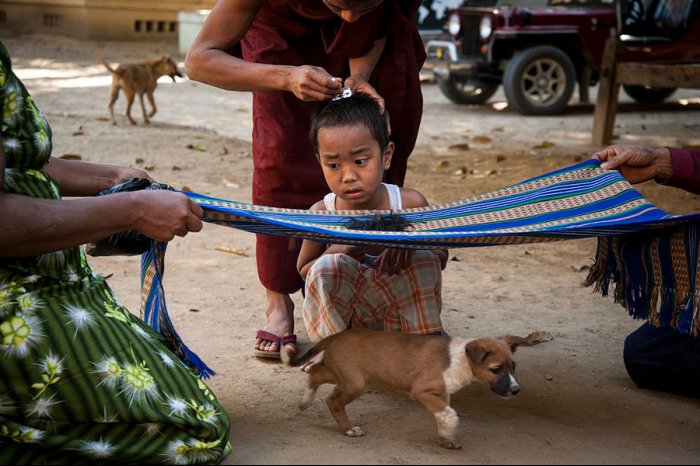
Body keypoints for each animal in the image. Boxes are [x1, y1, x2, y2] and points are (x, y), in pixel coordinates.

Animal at [282, 330, 548, 450]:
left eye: (514, 367)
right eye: (496, 369)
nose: (516, 390)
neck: (460, 360)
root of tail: (336, 336)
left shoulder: (443, 394)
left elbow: (445, 415)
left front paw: (446, 439)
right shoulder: (422, 391)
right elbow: (451, 414)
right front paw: (448, 437)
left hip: (347, 376)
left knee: (315, 373)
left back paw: (305, 401)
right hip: (355, 382)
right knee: (332, 400)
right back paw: (348, 429)